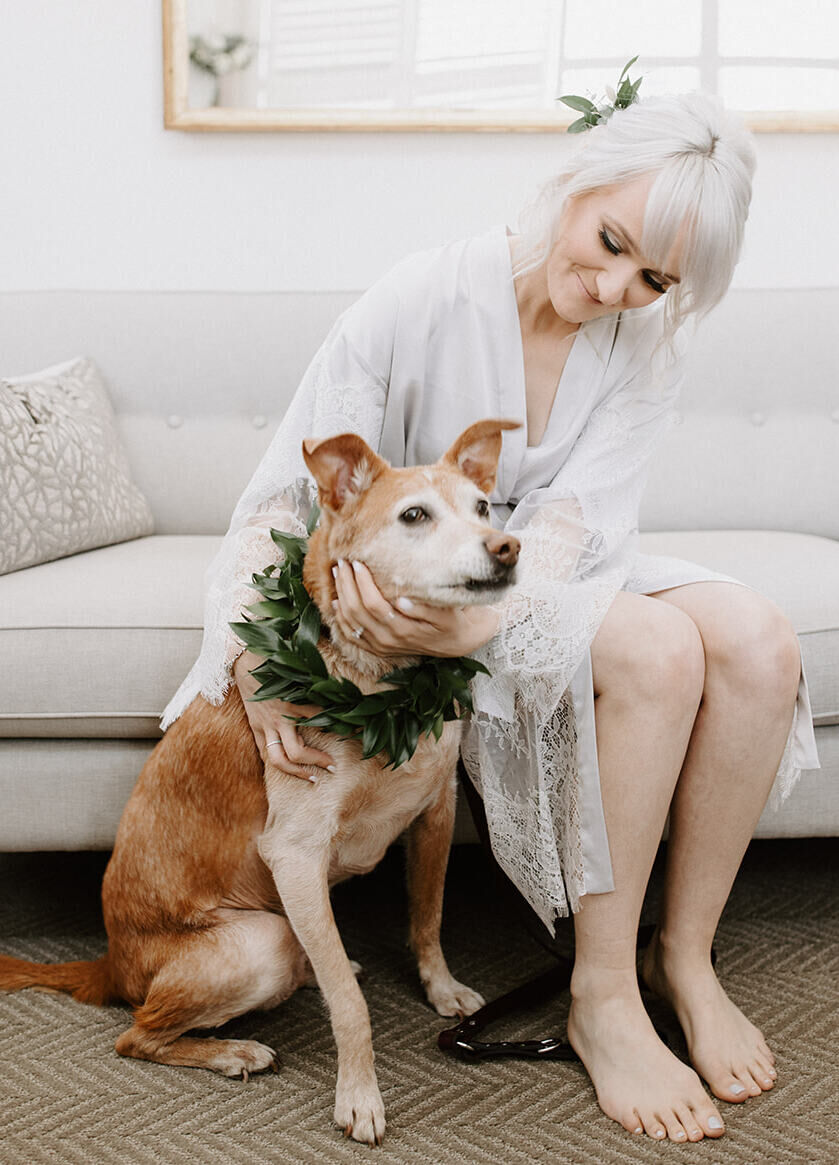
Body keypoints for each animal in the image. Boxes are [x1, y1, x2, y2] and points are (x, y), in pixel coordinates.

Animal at [1, 417, 517, 1137]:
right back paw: (233, 1049)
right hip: (257, 939)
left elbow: (428, 917)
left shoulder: (435, 812)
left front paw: (440, 989)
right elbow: (351, 1005)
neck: (385, 680)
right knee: (136, 1035)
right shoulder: (295, 853)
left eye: (482, 507)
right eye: (414, 515)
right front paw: (359, 1094)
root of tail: (110, 964)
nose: (507, 548)